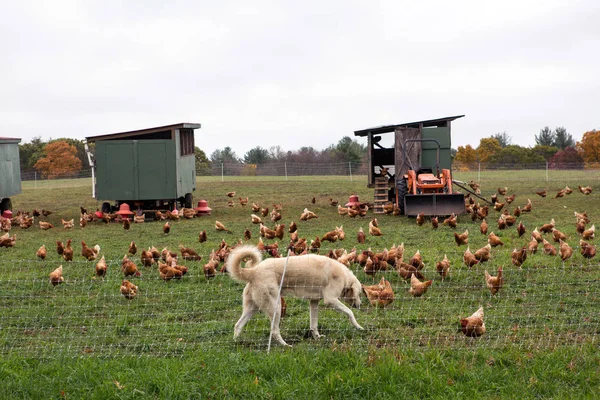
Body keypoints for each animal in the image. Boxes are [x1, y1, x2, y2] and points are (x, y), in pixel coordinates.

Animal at [226, 245, 364, 346]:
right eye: (359, 293)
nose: (360, 305)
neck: (343, 276)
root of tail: (253, 271)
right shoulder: (331, 300)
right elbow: (350, 313)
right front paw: (358, 326)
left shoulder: (314, 302)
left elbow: (313, 325)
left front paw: (317, 338)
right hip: (276, 308)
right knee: (274, 331)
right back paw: (286, 345)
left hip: (253, 308)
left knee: (238, 325)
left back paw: (236, 343)